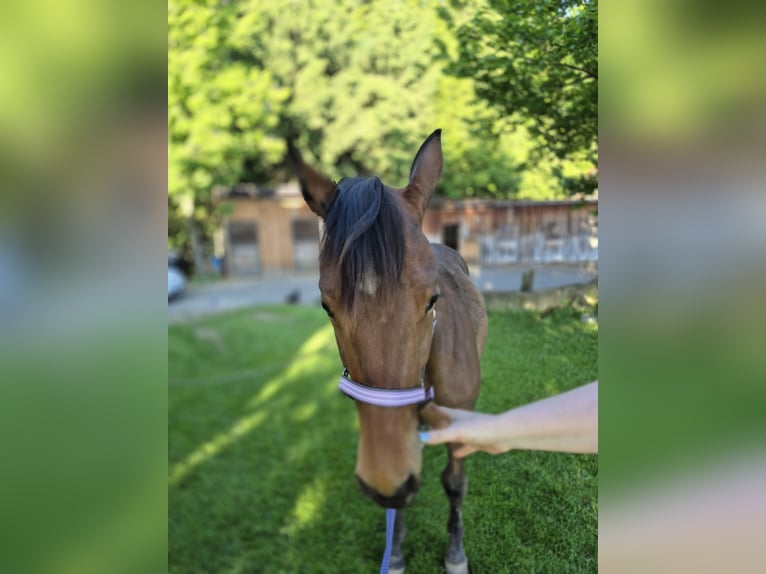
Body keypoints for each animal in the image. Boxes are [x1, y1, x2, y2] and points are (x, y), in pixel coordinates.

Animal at [288, 130, 487, 574]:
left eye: (433, 299)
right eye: (326, 305)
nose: (383, 481)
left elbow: (454, 483)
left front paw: (456, 553)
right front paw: (394, 551)